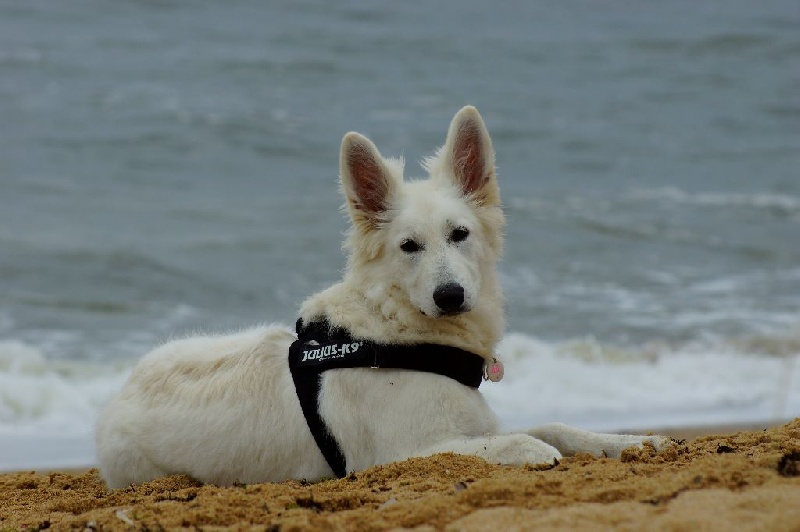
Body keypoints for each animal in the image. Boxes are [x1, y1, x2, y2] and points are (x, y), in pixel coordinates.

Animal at [95, 106, 668, 488]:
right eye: (408, 246)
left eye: (460, 234)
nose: (450, 296)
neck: (402, 329)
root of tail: (117, 397)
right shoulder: (406, 452)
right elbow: (502, 443)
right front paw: (534, 450)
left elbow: (557, 425)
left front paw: (632, 442)